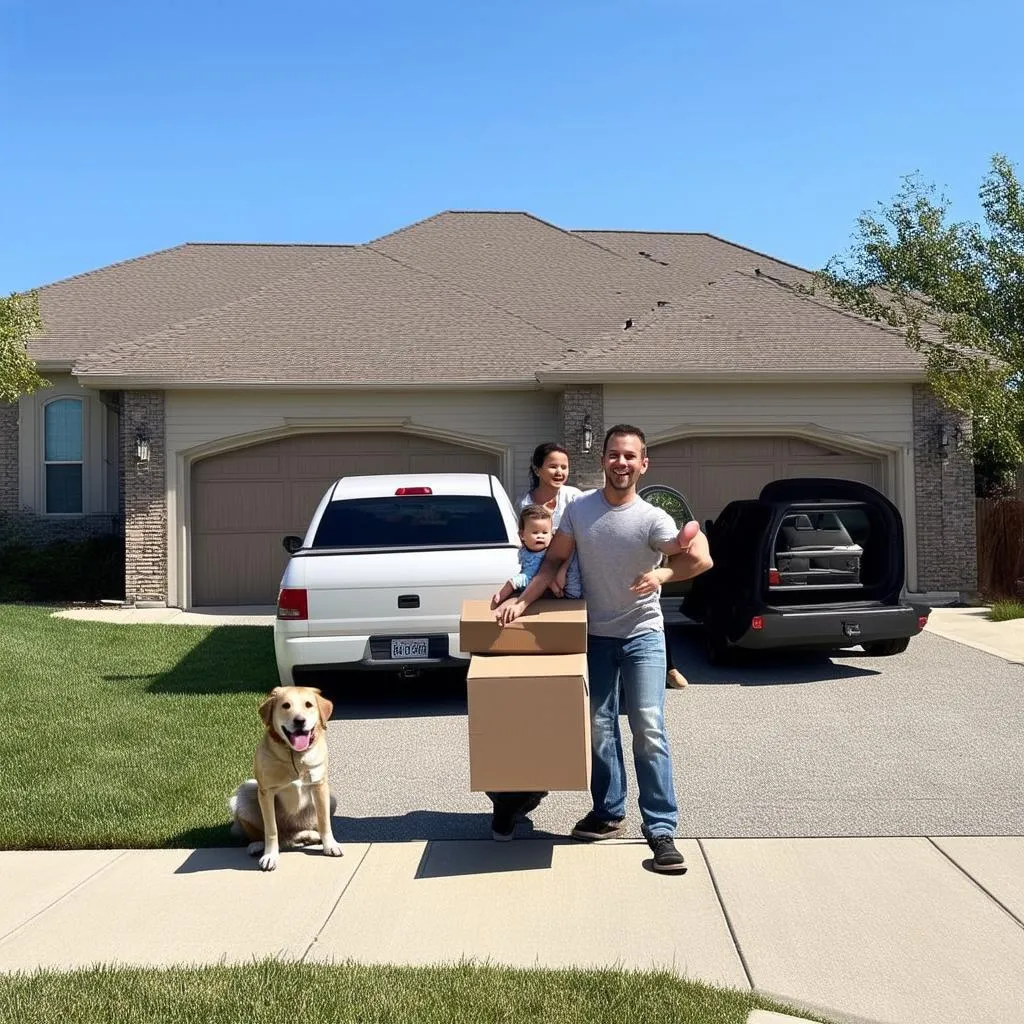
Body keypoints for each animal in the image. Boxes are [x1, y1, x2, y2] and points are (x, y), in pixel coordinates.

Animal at [228, 688, 344, 872]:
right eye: (286, 705)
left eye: (308, 704)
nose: (299, 721)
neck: (295, 755)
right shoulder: (266, 792)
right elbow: (270, 830)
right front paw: (270, 856)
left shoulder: (319, 785)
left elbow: (324, 822)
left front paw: (330, 845)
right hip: (245, 792)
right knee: (269, 834)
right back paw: (257, 845)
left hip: (331, 799)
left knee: (299, 833)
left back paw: (310, 836)